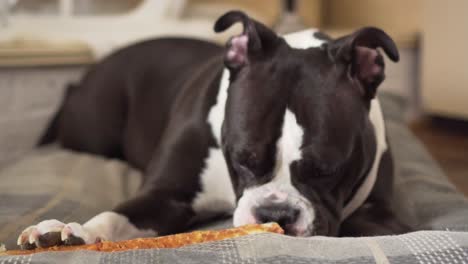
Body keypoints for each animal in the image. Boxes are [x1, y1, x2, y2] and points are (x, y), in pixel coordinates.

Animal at [16, 10, 408, 250]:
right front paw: (72, 233)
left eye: (327, 170)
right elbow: (116, 215)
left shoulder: (380, 217)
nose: (275, 215)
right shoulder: (164, 196)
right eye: (242, 158)